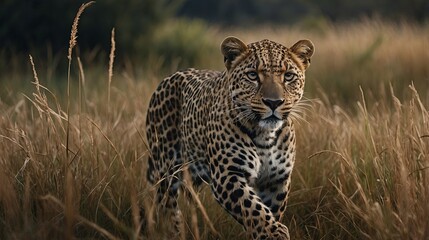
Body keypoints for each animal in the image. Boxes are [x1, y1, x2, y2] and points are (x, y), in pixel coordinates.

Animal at [145, 36, 312, 240]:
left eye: (288, 76)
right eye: (252, 75)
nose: (273, 103)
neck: (265, 136)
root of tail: (169, 77)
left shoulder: (275, 181)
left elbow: (266, 212)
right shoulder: (227, 174)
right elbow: (254, 210)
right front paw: (276, 233)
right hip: (165, 169)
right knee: (167, 208)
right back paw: (174, 231)